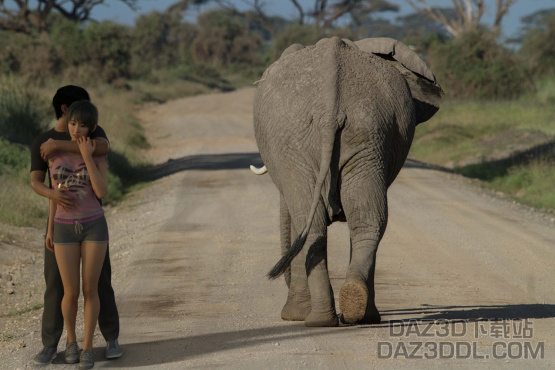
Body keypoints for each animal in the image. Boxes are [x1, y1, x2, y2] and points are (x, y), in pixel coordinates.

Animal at [254, 37, 446, 326]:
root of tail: (329, 109)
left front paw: (293, 316)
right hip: (366, 133)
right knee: (367, 219)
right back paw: (355, 309)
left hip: (306, 141)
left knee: (312, 224)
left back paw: (319, 319)